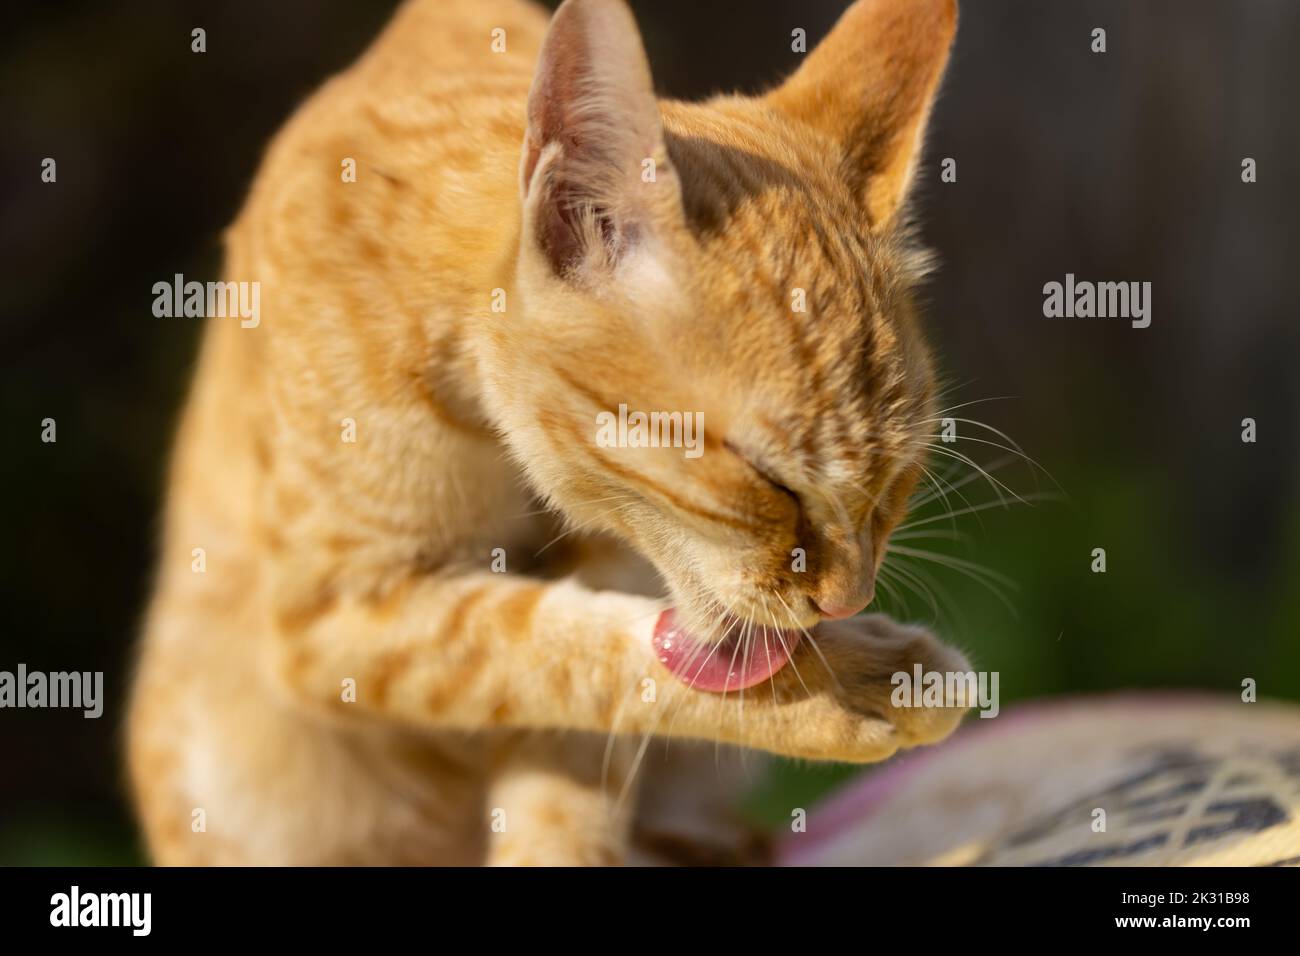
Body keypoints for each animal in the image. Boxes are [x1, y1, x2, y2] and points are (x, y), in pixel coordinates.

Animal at [129, 0, 967, 868]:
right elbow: (548, 643)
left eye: (897, 480)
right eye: (767, 480)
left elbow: (573, 733)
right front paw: (850, 681)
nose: (846, 600)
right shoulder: (332, 612)